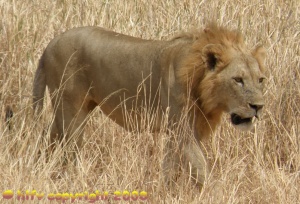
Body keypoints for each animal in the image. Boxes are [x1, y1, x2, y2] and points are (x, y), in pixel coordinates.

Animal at [32, 23, 266, 185]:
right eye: (238, 79)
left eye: (260, 80)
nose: (258, 107)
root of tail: (49, 45)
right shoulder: (182, 129)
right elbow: (201, 168)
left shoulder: (178, 132)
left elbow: (171, 165)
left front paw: (166, 190)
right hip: (72, 112)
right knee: (68, 149)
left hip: (67, 111)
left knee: (50, 139)